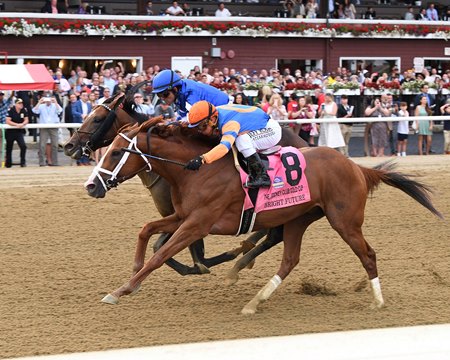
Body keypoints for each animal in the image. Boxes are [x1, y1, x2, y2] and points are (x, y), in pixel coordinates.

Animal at [63, 90, 310, 276]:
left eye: (97, 119)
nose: (69, 145)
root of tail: (303, 141)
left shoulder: (191, 216)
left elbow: (173, 248)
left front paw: (204, 264)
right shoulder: (177, 215)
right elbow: (169, 246)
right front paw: (200, 265)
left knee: (273, 233)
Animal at [85, 119, 442, 316]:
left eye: (115, 153)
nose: (91, 185)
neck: (195, 170)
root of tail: (357, 167)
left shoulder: (196, 223)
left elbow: (161, 255)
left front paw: (122, 290)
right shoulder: (183, 216)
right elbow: (147, 230)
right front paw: (132, 273)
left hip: (345, 221)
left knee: (367, 254)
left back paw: (378, 302)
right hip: (299, 218)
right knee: (289, 259)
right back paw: (254, 300)